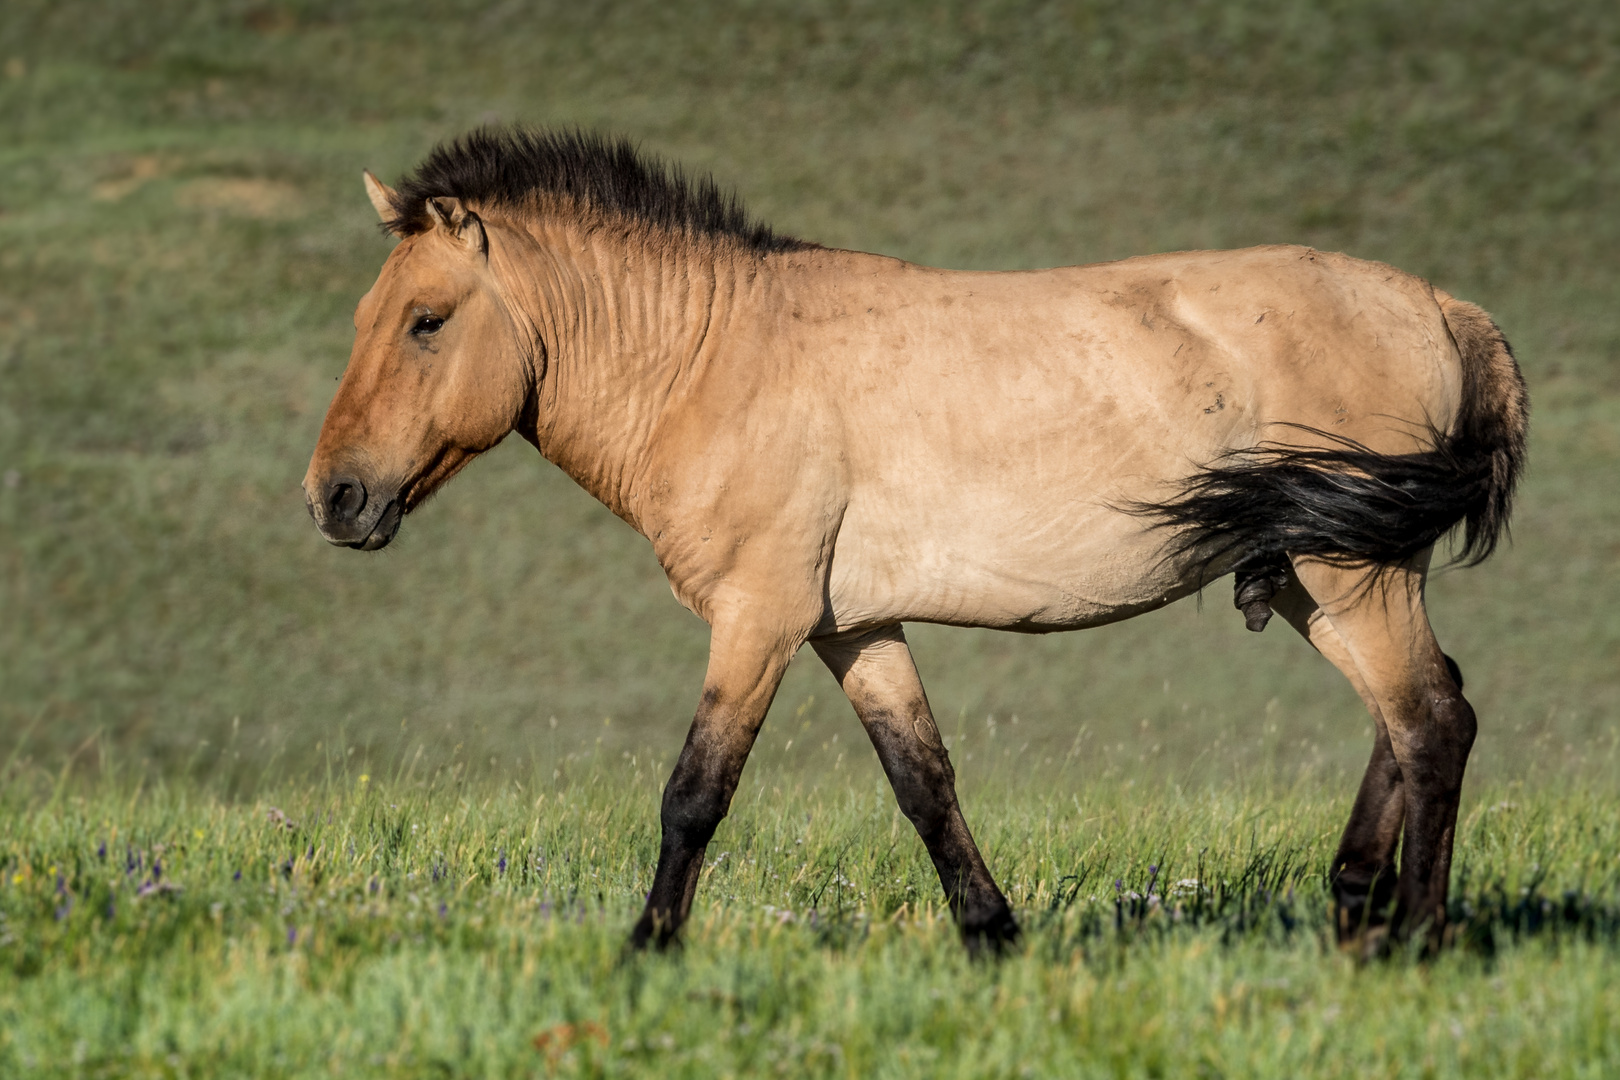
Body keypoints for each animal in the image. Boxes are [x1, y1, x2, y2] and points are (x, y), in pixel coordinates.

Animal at [306, 128, 1529, 952]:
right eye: (369, 317)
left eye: (426, 322)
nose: (334, 498)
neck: (717, 358)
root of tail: (1450, 311)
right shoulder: (855, 629)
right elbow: (924, 783)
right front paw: (993, 938)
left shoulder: (760, 621)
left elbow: (695, 794)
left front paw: (646, 951)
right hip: (1321, 575)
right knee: (1410, 715)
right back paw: (1354, 911)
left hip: (1353, 570)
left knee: (1432, 720)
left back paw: (1417, 940)